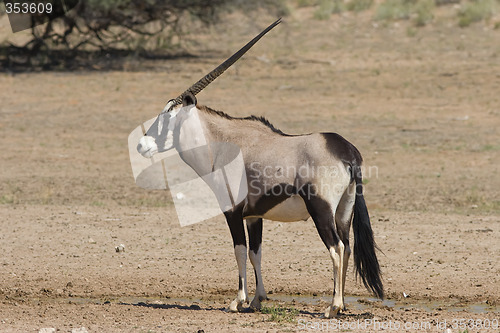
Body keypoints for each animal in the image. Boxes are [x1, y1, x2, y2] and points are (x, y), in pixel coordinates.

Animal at [135, 18, 380, 316]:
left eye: (167, 119)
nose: (142, 145)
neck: (223, 143)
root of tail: (346, 151)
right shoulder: (254, 216)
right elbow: (255, 253)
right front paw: (257, 299)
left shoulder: (232, 212)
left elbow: (239, 250)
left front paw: (237, 301)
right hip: (344, 211)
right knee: (347, 248)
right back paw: (342, 305)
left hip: (322, 211)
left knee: (337, 248)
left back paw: (332, 307)